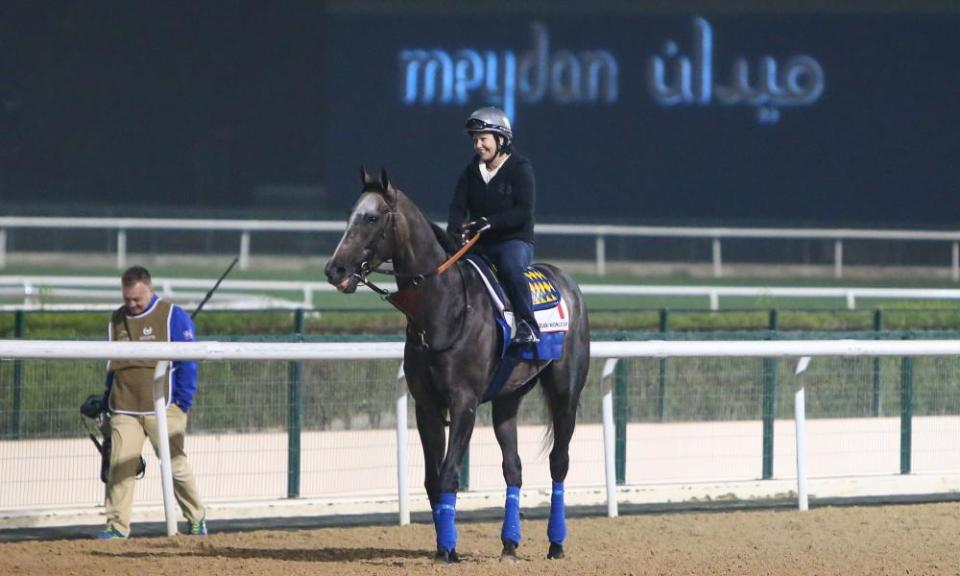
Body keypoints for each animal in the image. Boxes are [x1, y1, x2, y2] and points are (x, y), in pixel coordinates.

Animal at [326, 170, 588, 564]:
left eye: (371, 218)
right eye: (348, 214)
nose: (335, 269)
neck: (443, 308)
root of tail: (568, 283)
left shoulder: (464, 402)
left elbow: (449, 474)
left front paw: (448, 548)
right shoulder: (427, 406)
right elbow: (433, 481)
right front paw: (442, 547)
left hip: (565, 393)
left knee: (559, 461)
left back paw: (556, 543)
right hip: (507, 400)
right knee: (513, 467)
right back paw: (509, 545)